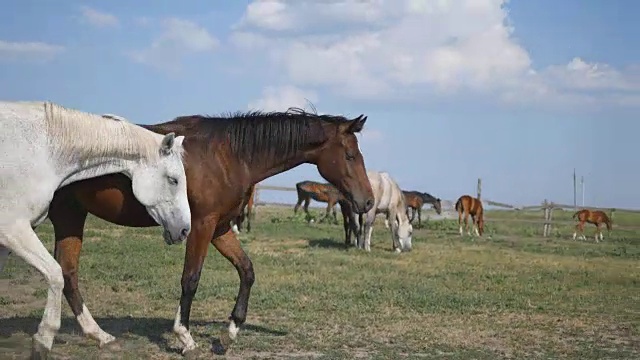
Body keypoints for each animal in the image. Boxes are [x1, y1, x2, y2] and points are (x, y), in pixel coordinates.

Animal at [0, 100, 192, 358]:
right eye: (173, 180)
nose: (184, 229)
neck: (43, 150)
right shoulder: (12, 229)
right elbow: (56, 274)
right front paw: (43, 339)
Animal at [45, 106, 376, 354]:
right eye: (350, 155)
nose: (368, 201)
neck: (229, 156)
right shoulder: (201, 225)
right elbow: (191, 279)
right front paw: (185, 337)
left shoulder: (220, 228)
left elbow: (247, 270)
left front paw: (229, 333)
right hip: (65, 214)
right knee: (66, 273)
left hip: (70, 215)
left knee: (67, 273)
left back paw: (98, 334)